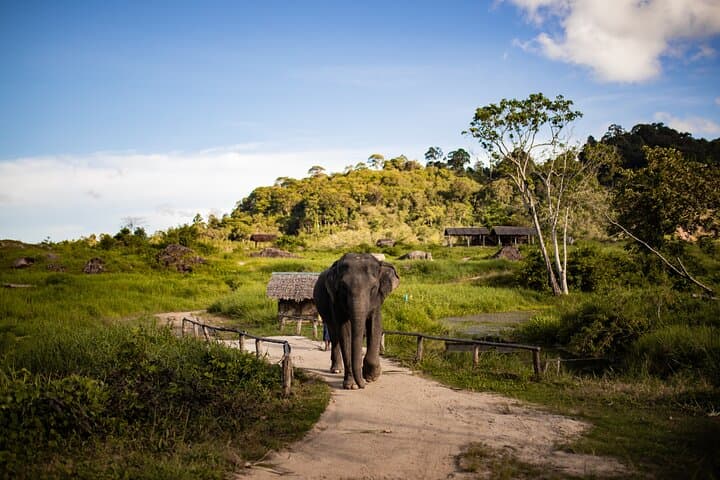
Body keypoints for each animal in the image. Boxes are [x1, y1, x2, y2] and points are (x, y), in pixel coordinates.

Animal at [313, 253, 400, 389]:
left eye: (373, 288)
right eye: (343, 287)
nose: (363, 385)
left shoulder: (377, 300)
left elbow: (375, 326)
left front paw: (371, 376)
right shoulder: (336, 300)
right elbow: (345, 332)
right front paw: (351, 385)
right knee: (334, 334)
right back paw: (336, 369)